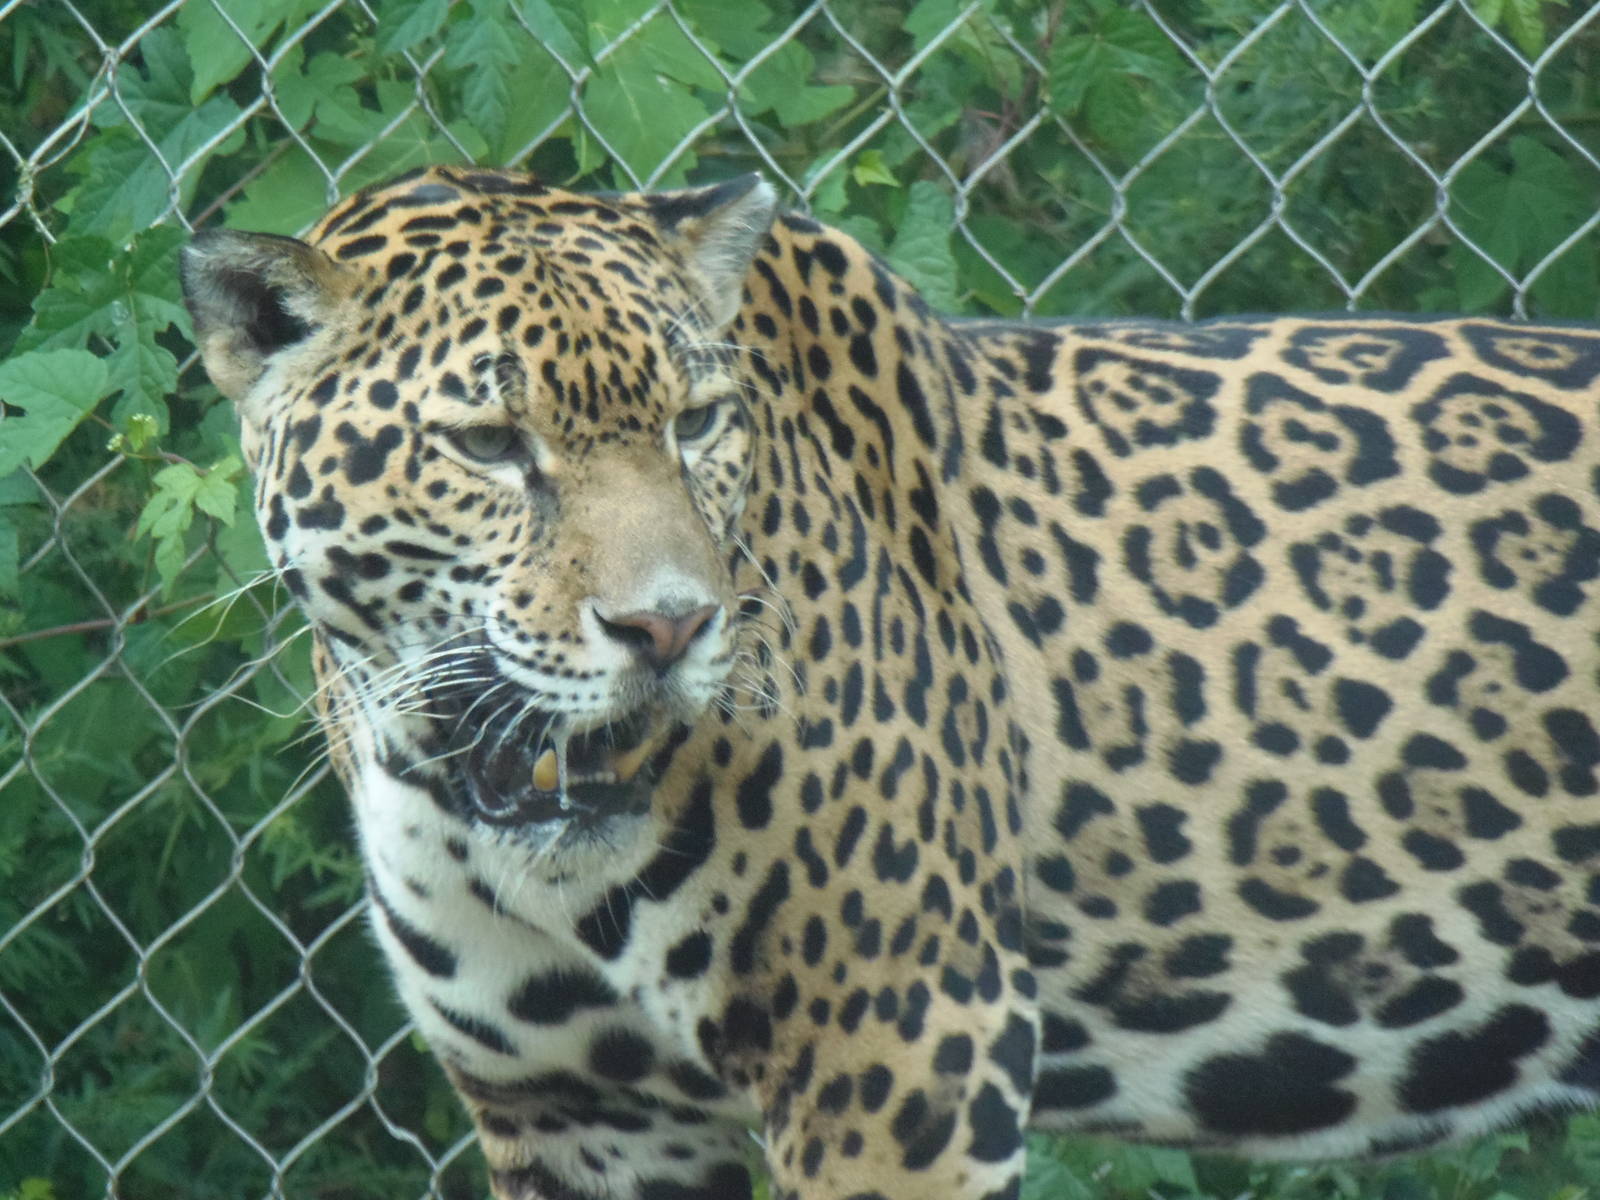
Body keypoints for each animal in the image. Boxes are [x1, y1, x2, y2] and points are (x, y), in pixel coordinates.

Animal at [180, 165, 1600, 1200]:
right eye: (486, 444)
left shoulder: (900, 1045)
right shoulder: (578, 1109)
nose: (669, 628)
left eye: (696, 424)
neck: (462, 789)